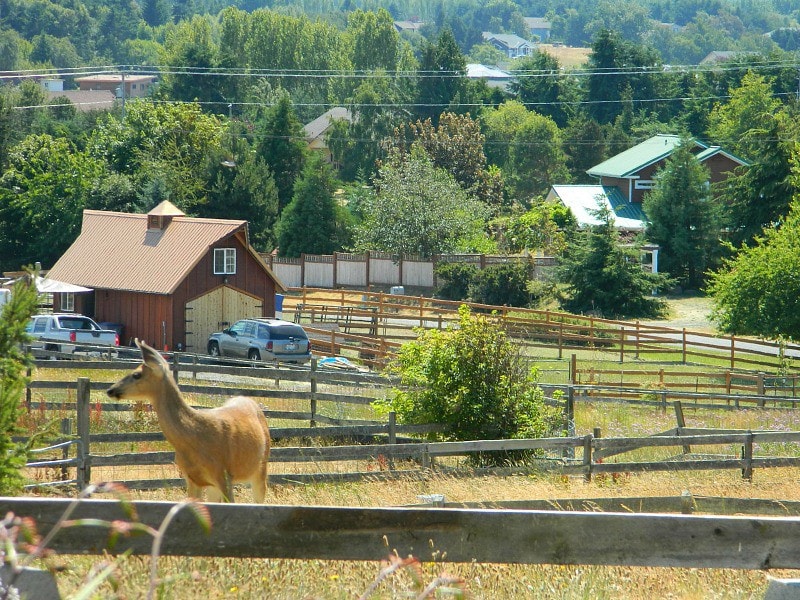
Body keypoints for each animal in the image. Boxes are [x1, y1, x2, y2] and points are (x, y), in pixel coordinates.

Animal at [108, 340, 270, 504]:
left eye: (136, 374)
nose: (110, 390)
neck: (195, 435)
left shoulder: (224, 473)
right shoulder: (192, 478)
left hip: (261, 466)